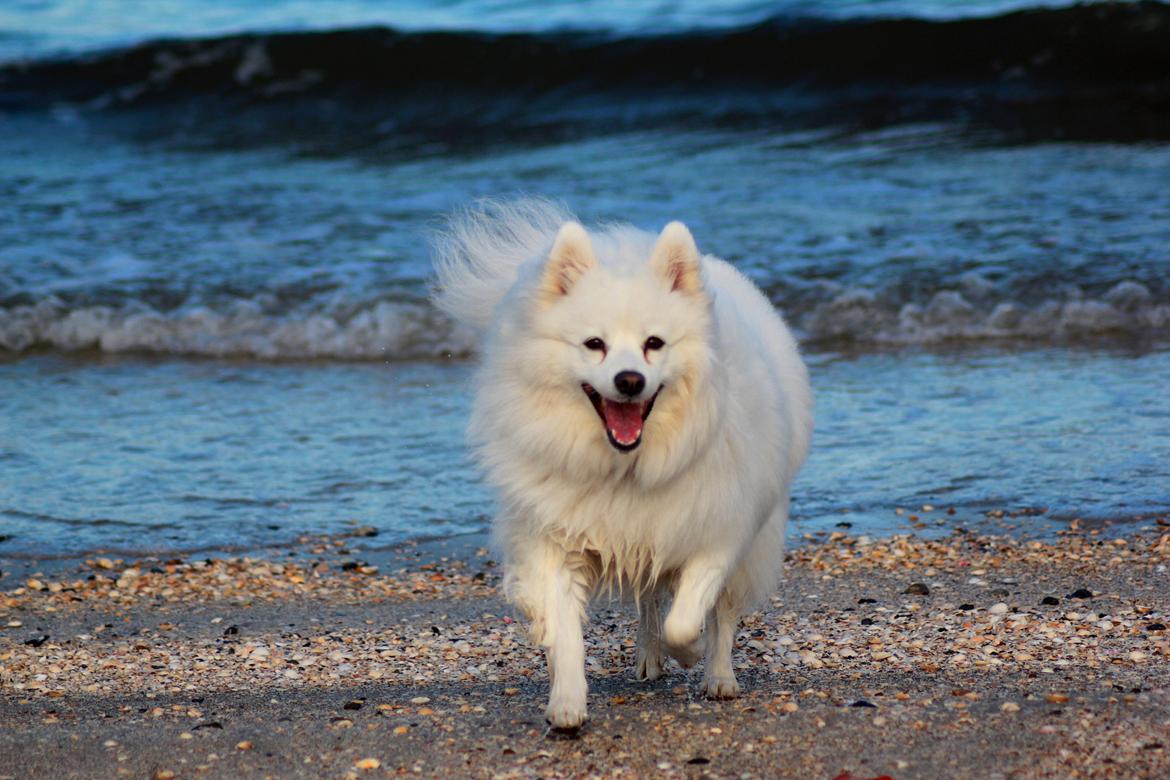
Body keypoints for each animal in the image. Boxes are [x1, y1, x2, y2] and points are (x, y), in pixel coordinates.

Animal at [435, 198, 809, 729]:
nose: (629, 379)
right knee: (650, 601)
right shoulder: (559, 538)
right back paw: (649, 657)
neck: (625, 466)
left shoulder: (718, 532)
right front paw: (567, 702)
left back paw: (718, 676)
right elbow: (567, 630)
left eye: (655, 343)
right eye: (595, 344)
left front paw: (690, 653)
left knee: (720, 614)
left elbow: (688, 618)